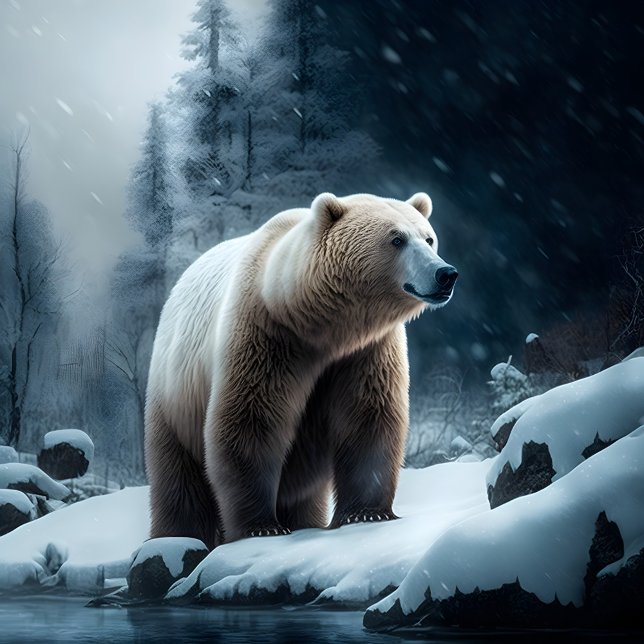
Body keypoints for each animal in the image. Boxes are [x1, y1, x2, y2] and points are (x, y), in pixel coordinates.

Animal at [144, 192, 458, 548]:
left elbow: (368, 418)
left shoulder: (366, 351)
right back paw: (175, 536)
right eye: (396, 239)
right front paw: (260, 526)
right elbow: (250, 421)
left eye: (428, 238)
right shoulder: (265, 337)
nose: (445, 273)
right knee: (177, 478)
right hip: (175, 394)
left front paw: (366, 512)